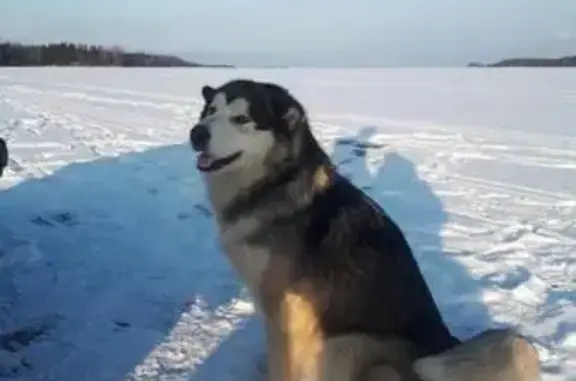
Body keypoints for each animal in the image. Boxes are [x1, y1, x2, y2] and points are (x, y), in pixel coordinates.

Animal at [188, 78, 540, 380]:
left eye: (241, 119)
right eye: (210, 111)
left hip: (348, 343)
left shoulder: (289, 316)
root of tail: (445, 343)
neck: (275, 184)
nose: (196, 133)